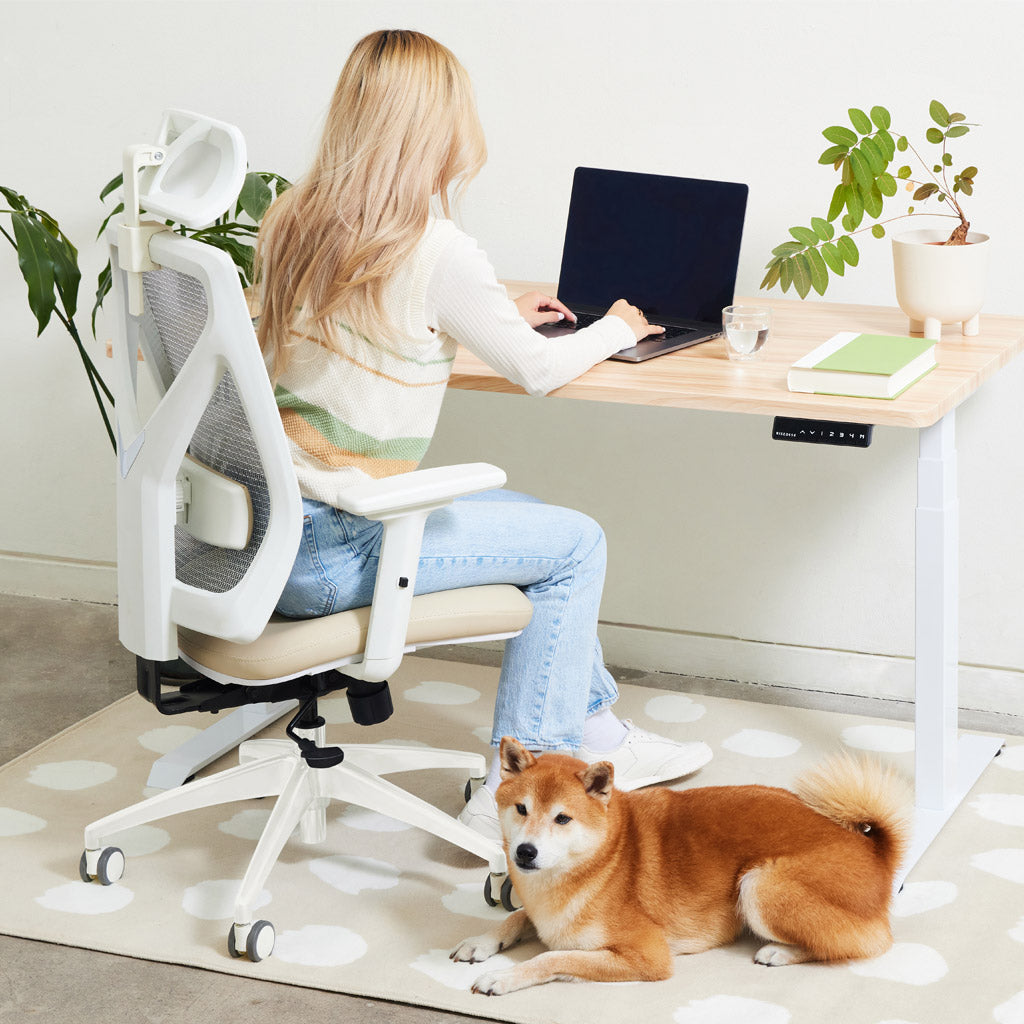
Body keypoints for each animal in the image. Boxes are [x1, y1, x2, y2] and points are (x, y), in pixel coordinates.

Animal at [452, 737, 909, 991]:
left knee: (862, 945)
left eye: (562, 819)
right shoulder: (541, 911)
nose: (525, 852)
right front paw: (482, 941)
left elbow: (555, 959)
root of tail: (870, 848)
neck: (602, 859)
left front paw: (503, 977)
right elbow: (517, 918)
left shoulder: (648, 955)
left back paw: (779, 952)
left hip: (759, 883)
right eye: (521, 809)